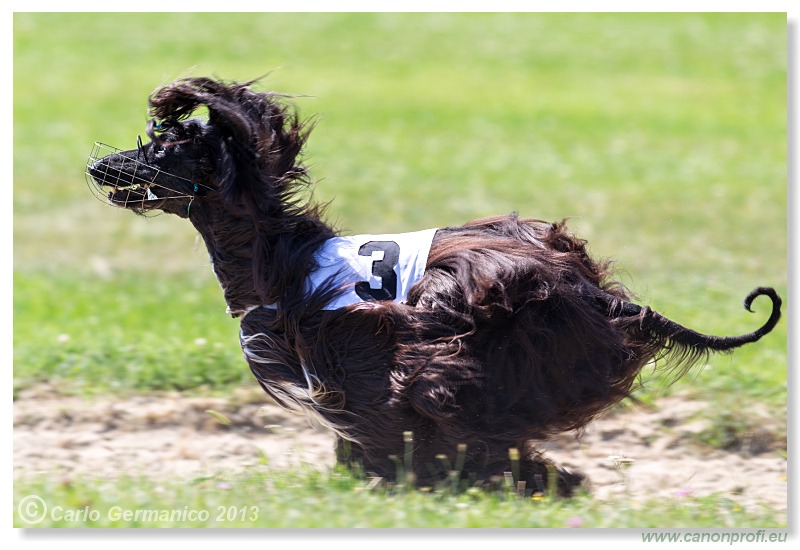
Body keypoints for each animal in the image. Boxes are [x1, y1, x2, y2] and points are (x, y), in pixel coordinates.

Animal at [87, 77, 780, 496]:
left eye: (160, 148)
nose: (98, 165)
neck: (273, 257)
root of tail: (597, 295)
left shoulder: (358, 364)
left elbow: (387, 424)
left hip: (464, 319)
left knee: (443, 393)